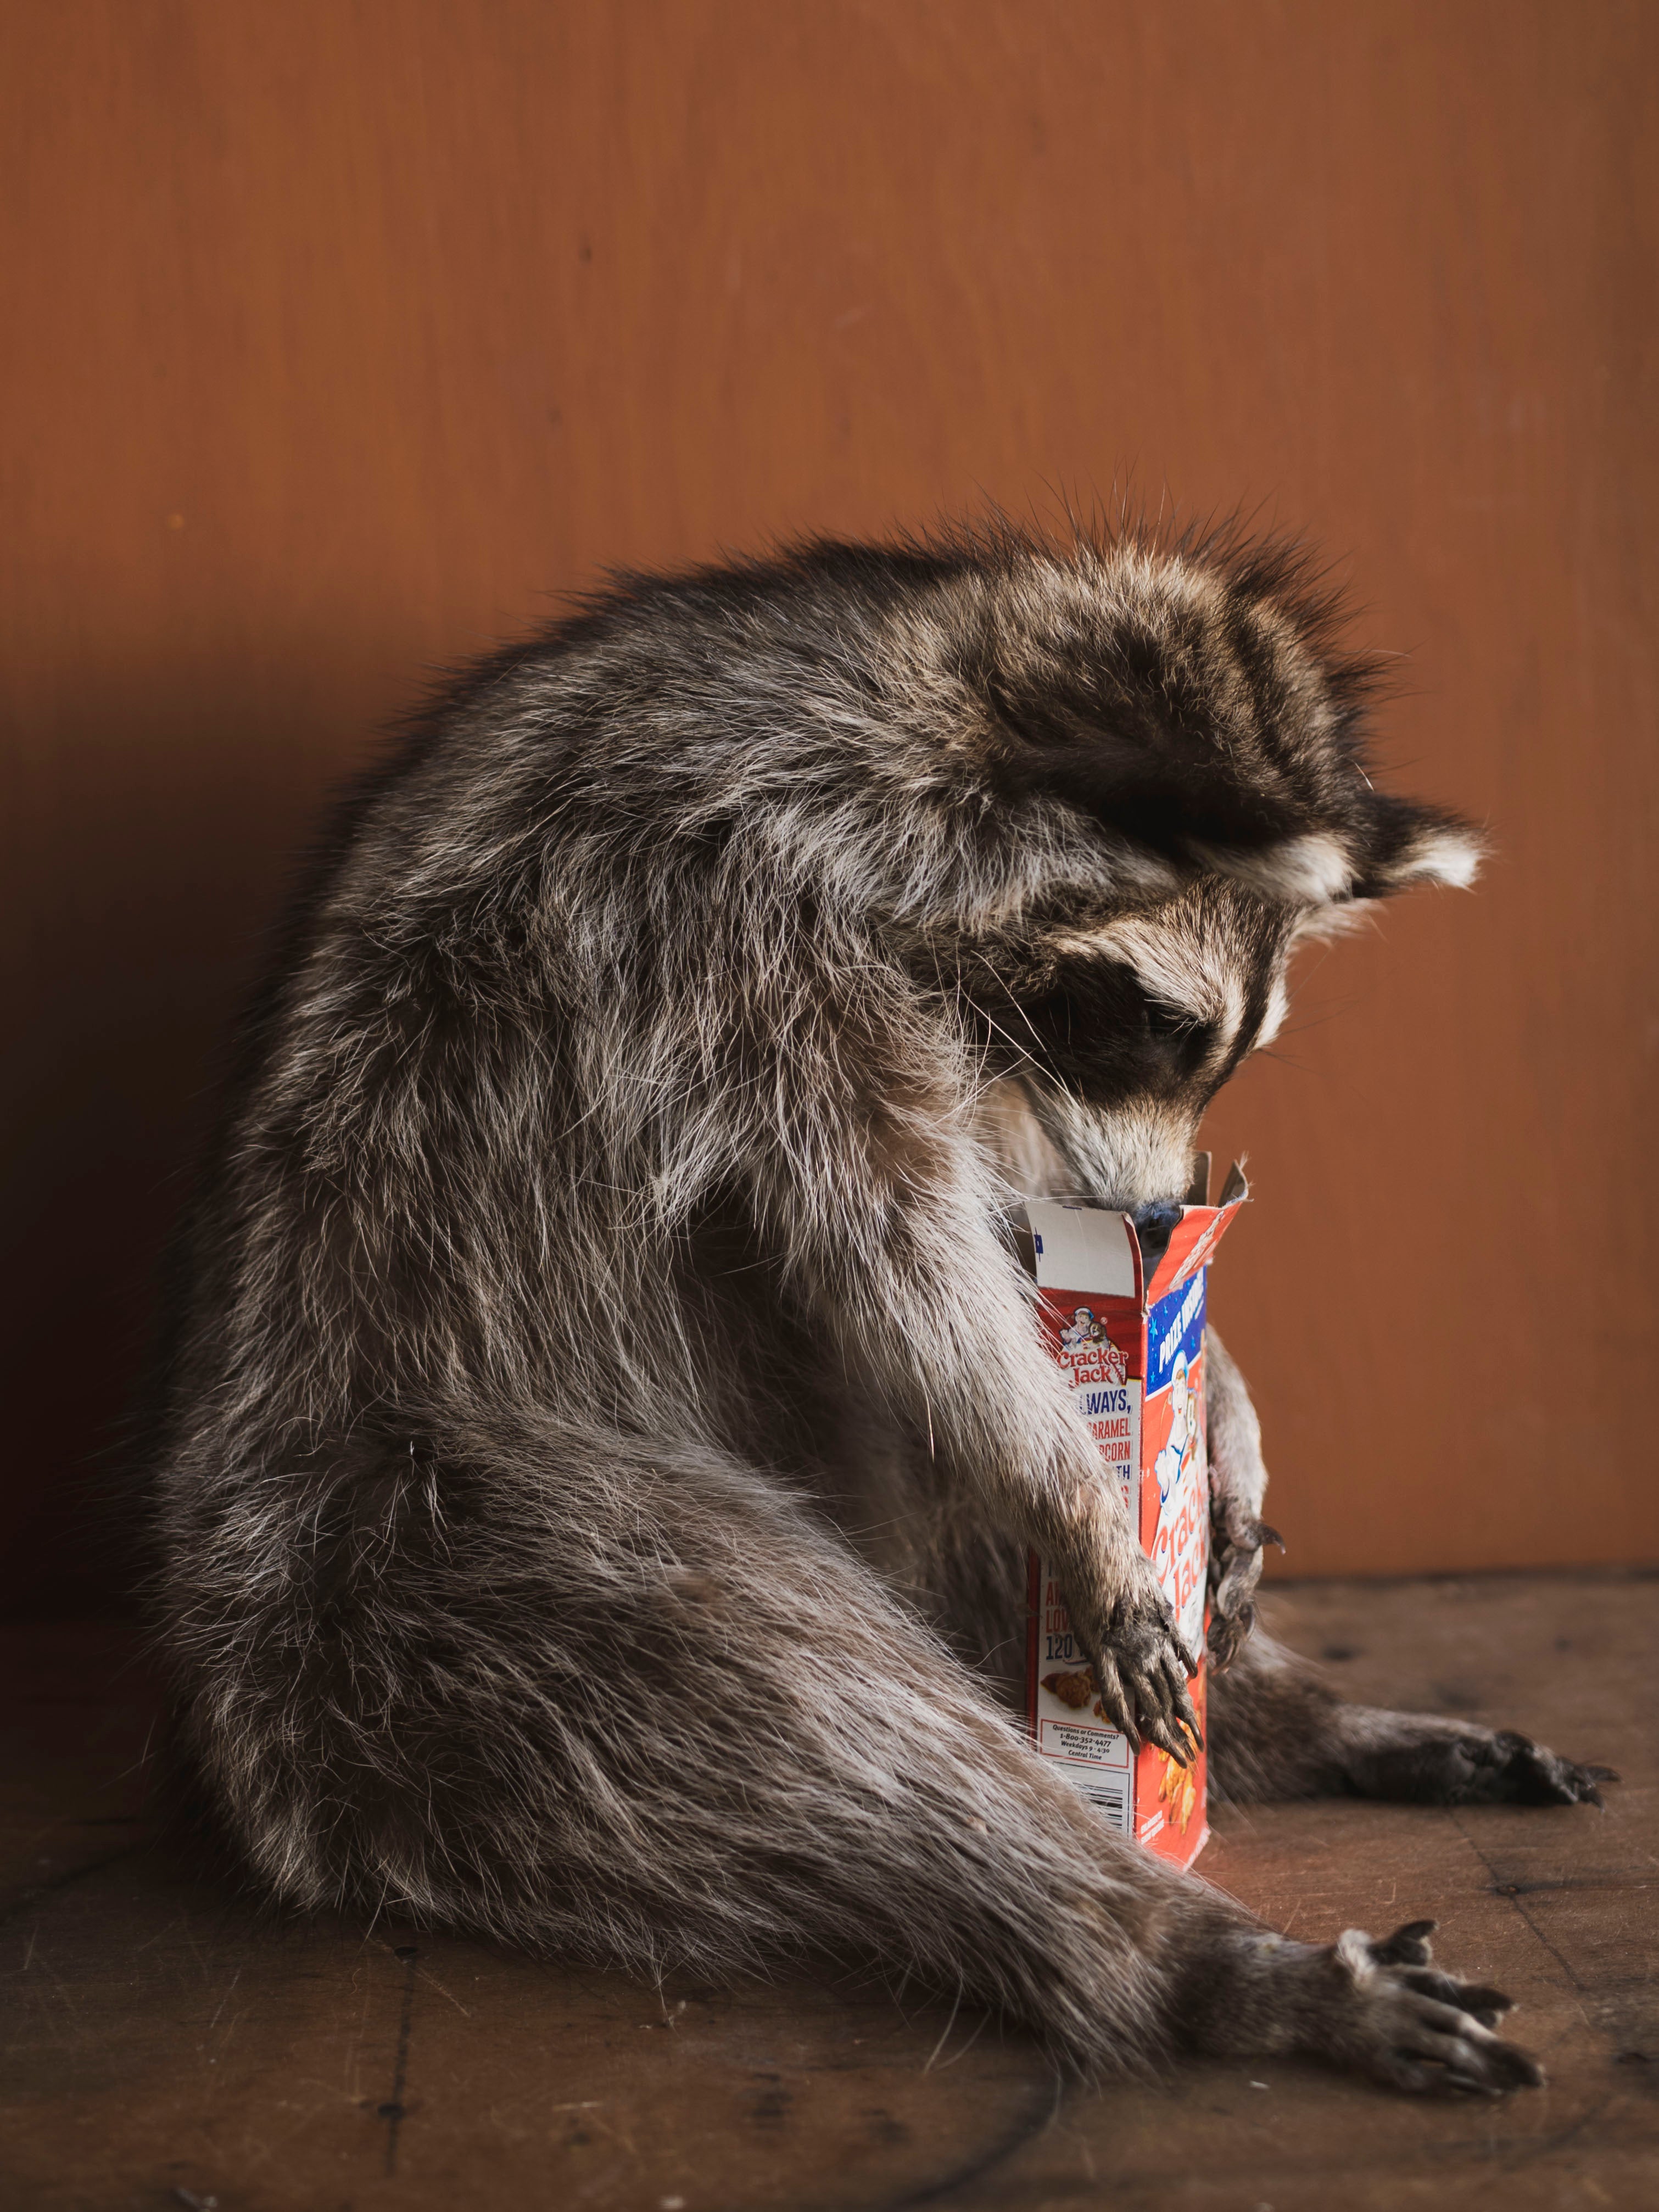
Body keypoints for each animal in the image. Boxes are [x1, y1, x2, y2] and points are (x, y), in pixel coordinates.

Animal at [148, 524, 1611, 2095]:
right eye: (1156, 1026)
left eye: (1224, 1057)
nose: (1170, 1226)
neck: (889, 714)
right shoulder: (718, 941)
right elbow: (902, 1259)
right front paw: (1073, 1490)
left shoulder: (953, 1030)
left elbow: (1018, 1223)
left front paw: (1217, 1388)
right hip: (419, 1551)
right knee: (808, 1704)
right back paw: (1167, 1949)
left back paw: (1301, 1722)